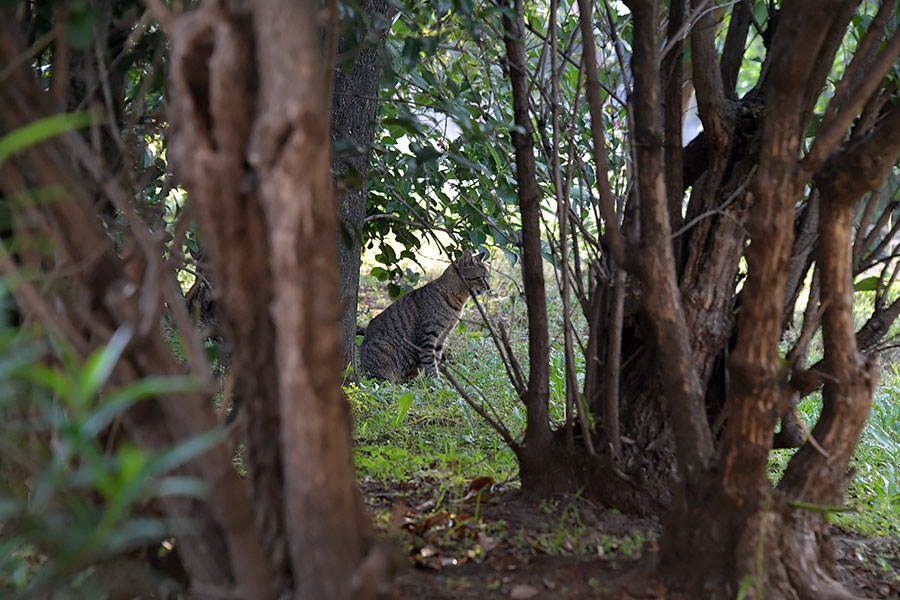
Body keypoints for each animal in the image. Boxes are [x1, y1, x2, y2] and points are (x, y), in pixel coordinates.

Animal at [358, 251, 488, 382]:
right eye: (481, 278)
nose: (489, 287)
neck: (458, 301)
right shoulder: (428, 335)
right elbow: (430, 360)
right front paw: (435, 379)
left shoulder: (443, 334)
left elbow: (436, 356)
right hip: (384, 352)